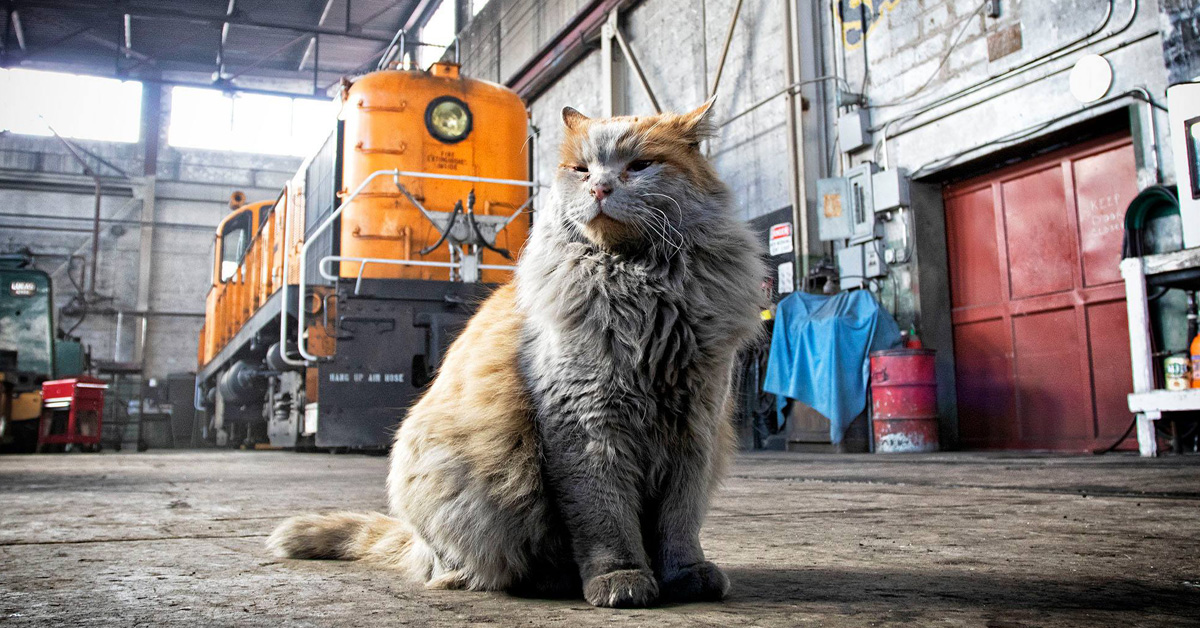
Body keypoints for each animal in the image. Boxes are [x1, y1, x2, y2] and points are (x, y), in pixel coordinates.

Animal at [267, 99, 763, 609]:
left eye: (640, 166)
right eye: (581, 170)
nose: (600, 187)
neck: (643, 290)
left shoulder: (696, 426)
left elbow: (680, 520)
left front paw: (687, 575)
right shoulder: (586, 425)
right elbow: (605, 517)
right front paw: (620, 579)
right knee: (468, 566)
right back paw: (544, 580)